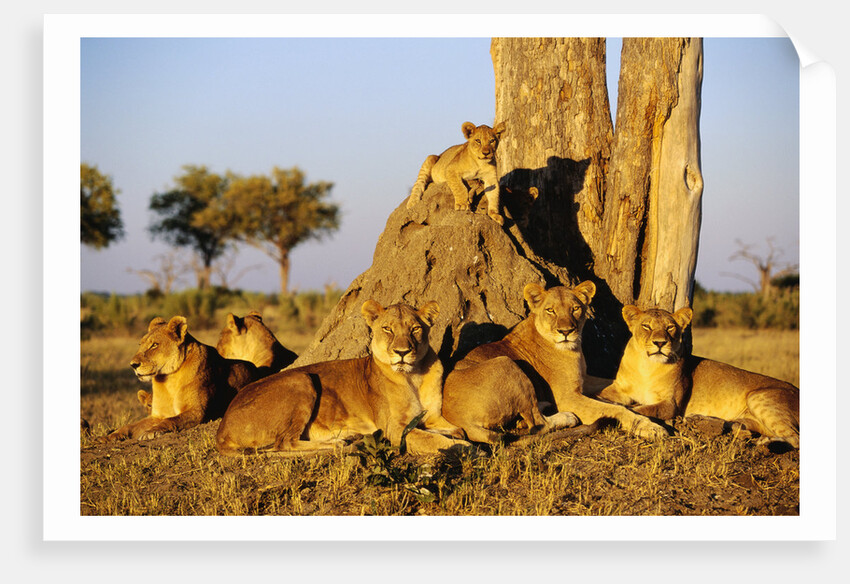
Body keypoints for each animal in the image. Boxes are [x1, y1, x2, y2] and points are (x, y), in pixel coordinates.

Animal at [104, 316, 262, 441]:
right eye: (140, 344)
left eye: (154, 345)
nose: (133, 365)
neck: (168, 379)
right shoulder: (156, 415)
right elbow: (131, 426)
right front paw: (109, 437)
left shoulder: (197, 411)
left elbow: (170, 420)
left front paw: (151, 432)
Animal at [215, 300, 470, 456]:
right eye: (387, 329)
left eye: (415, 329)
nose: (402, 352)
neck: (413, 376)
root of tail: (221, 428)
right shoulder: (395, 428)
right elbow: (439, 442)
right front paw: (466, 449)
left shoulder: (433, 417)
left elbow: (457, 430)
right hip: (302, 379)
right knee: (283, 443)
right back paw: (338, 443)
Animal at [441, 282, 669, 442]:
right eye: (550, 310)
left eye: (575, 308)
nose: (566, 331)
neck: (573, 349)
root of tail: (456, 417)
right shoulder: (567, 397)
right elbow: (616, 410)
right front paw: (650, 427)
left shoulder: (583, 378)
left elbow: (611, 383)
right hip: (507, 363)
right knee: (538, 424)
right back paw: (565, 417)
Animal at [596, 305, 799, 448]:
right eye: (646, 326)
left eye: (670, 328)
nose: (660, 343)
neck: (647, 366)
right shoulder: (618, 388)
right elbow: (602, 395)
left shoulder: (671, 404)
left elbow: (643, 408)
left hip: (759, 397)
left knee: (795, 438)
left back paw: (769, 443)